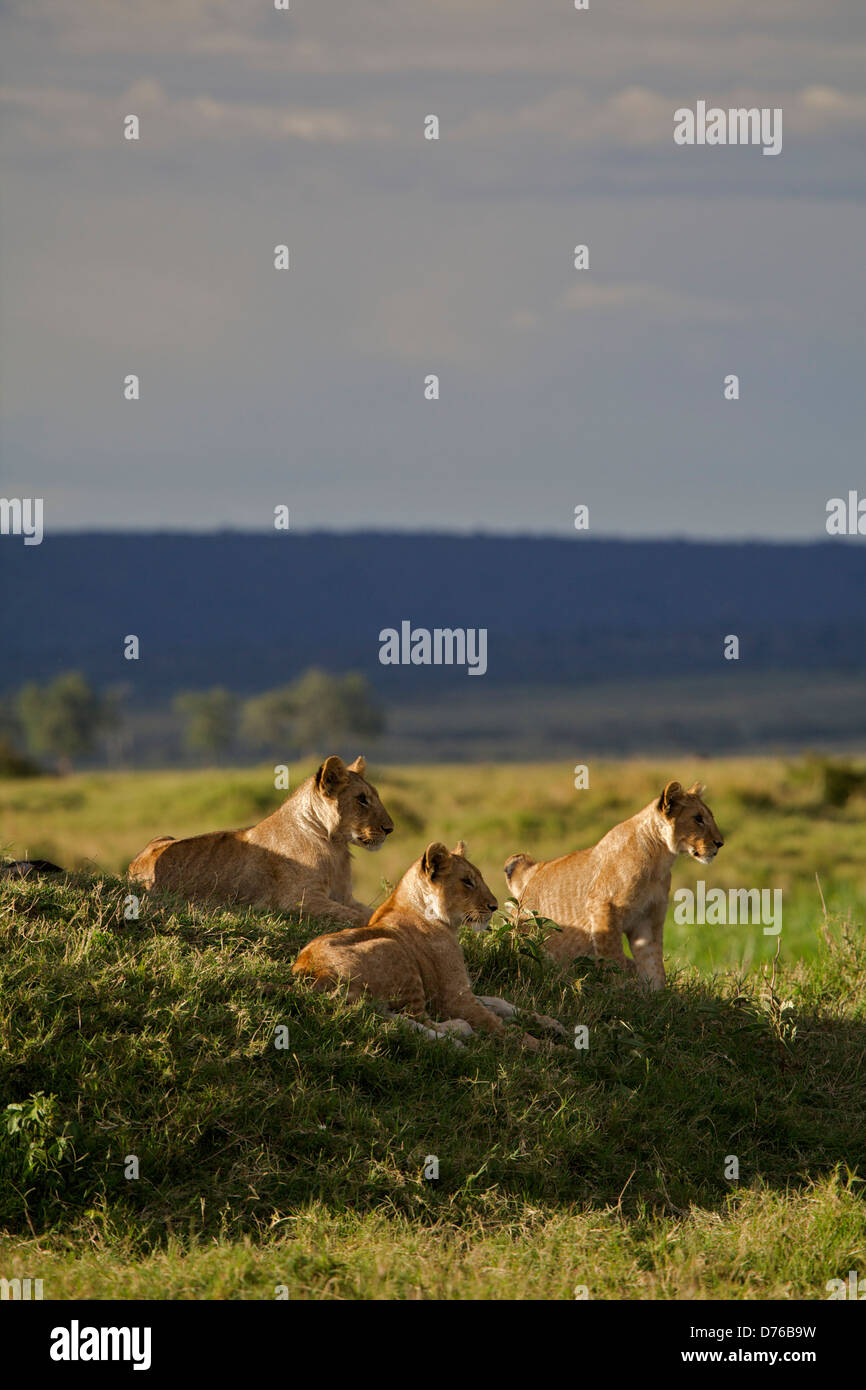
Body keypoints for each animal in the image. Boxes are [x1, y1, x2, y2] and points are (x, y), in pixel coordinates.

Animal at [127, 756, 391, 928]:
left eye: (375, 796)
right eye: (362, 799)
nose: (390, 829)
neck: (335, 846)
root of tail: (133, 865)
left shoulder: (345, 897)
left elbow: (372, 910)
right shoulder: (297, 901)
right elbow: (360, 917)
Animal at [293, 828, 569, 1045]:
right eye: (467, 881)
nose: (493, 906)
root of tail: (309, 970)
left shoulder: (462, 990)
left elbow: (500, 1003)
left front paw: (553, 1024)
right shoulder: (453, 998)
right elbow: (503, 1029)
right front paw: (552, 1050)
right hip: (393, 949)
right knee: (419, 1021)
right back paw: (460, 1033)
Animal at [505, 783, 722, 989]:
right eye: (698, 818)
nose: (720, 843)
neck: (660, 860)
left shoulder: (648, 918)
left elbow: (653, 964)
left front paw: (657, 995)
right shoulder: (603, 907)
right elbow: (613, 957)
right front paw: (620, 989)